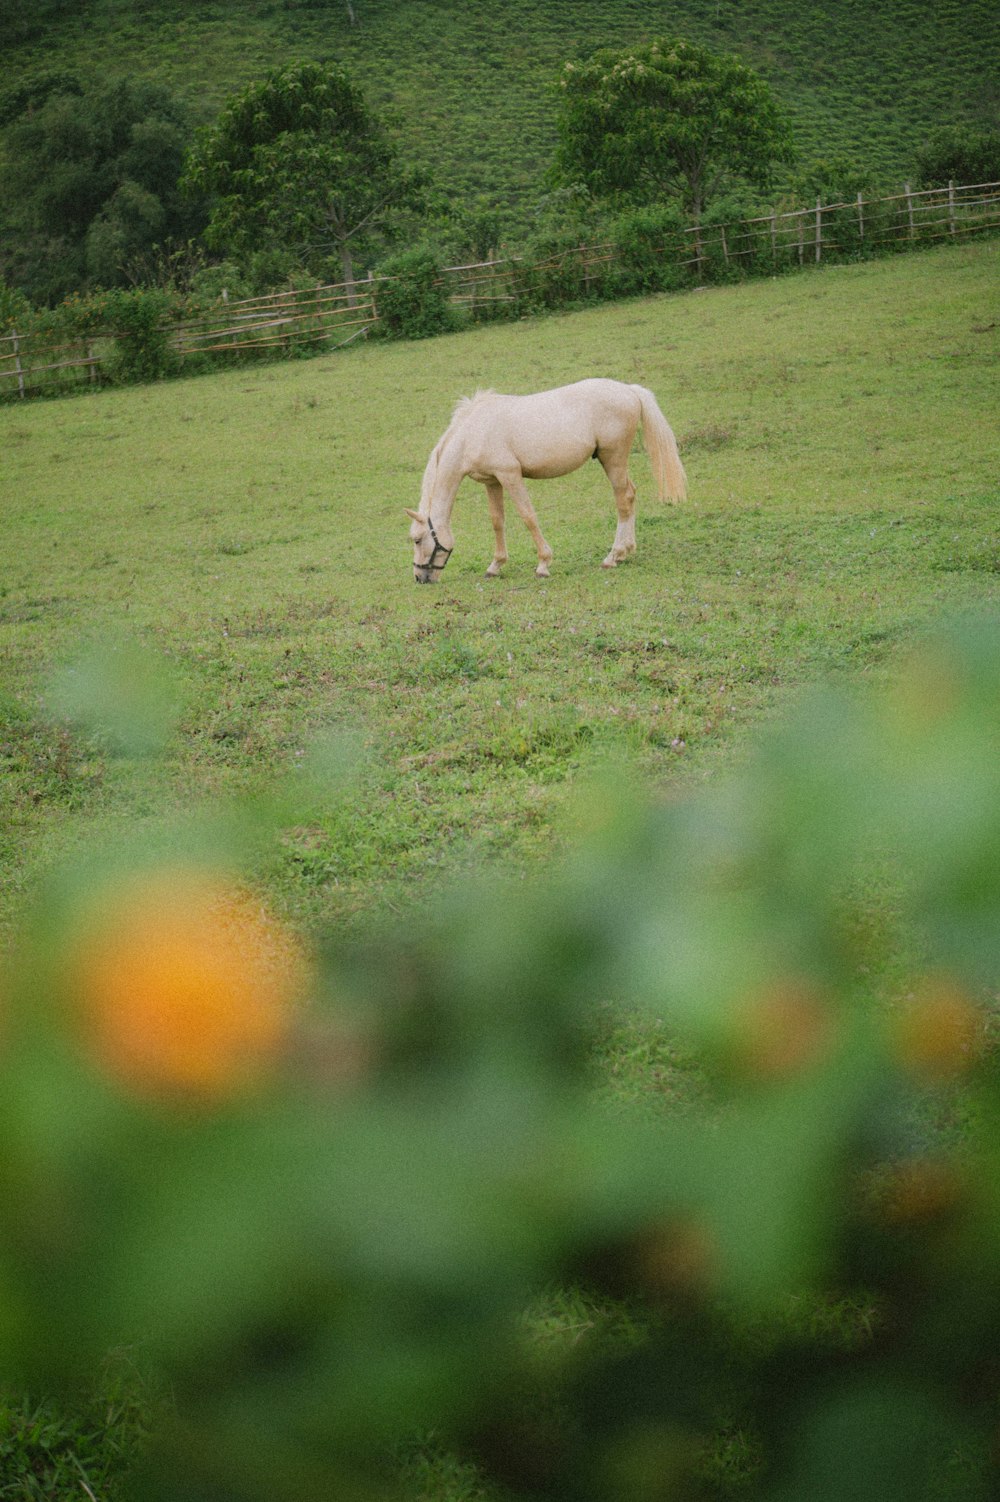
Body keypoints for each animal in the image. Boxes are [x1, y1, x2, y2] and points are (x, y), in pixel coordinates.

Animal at [402, 378, 681, 582]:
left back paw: (613, 556)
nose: (420, 578)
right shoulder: (492, 481)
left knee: (623, 499)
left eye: (417, 539)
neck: (473, 432)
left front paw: (543, 564)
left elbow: (528, 516)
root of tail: (629, 390)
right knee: (630, 495)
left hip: (613, 458)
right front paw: (495, 566)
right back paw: (625, 551)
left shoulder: (510, 475)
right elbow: (497, 521)